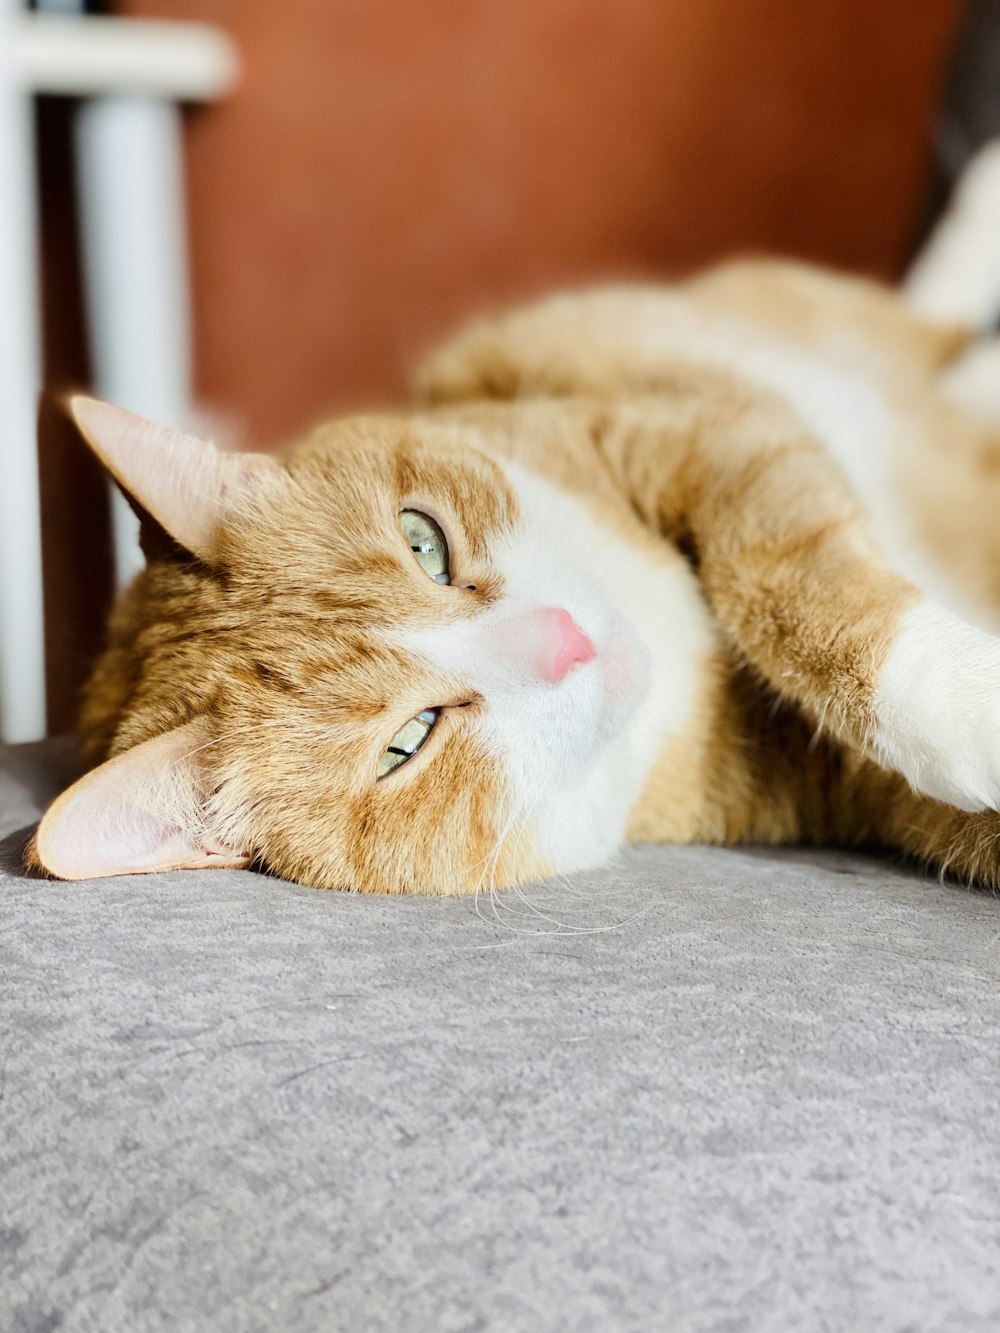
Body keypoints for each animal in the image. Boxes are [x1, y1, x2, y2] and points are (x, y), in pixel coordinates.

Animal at [25, 140, 1000, 890]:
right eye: (407, 742)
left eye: (423, 541)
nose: (565, 640)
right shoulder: (843, 785)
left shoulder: (705, 431)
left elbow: (788, 588)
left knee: (929, 321)